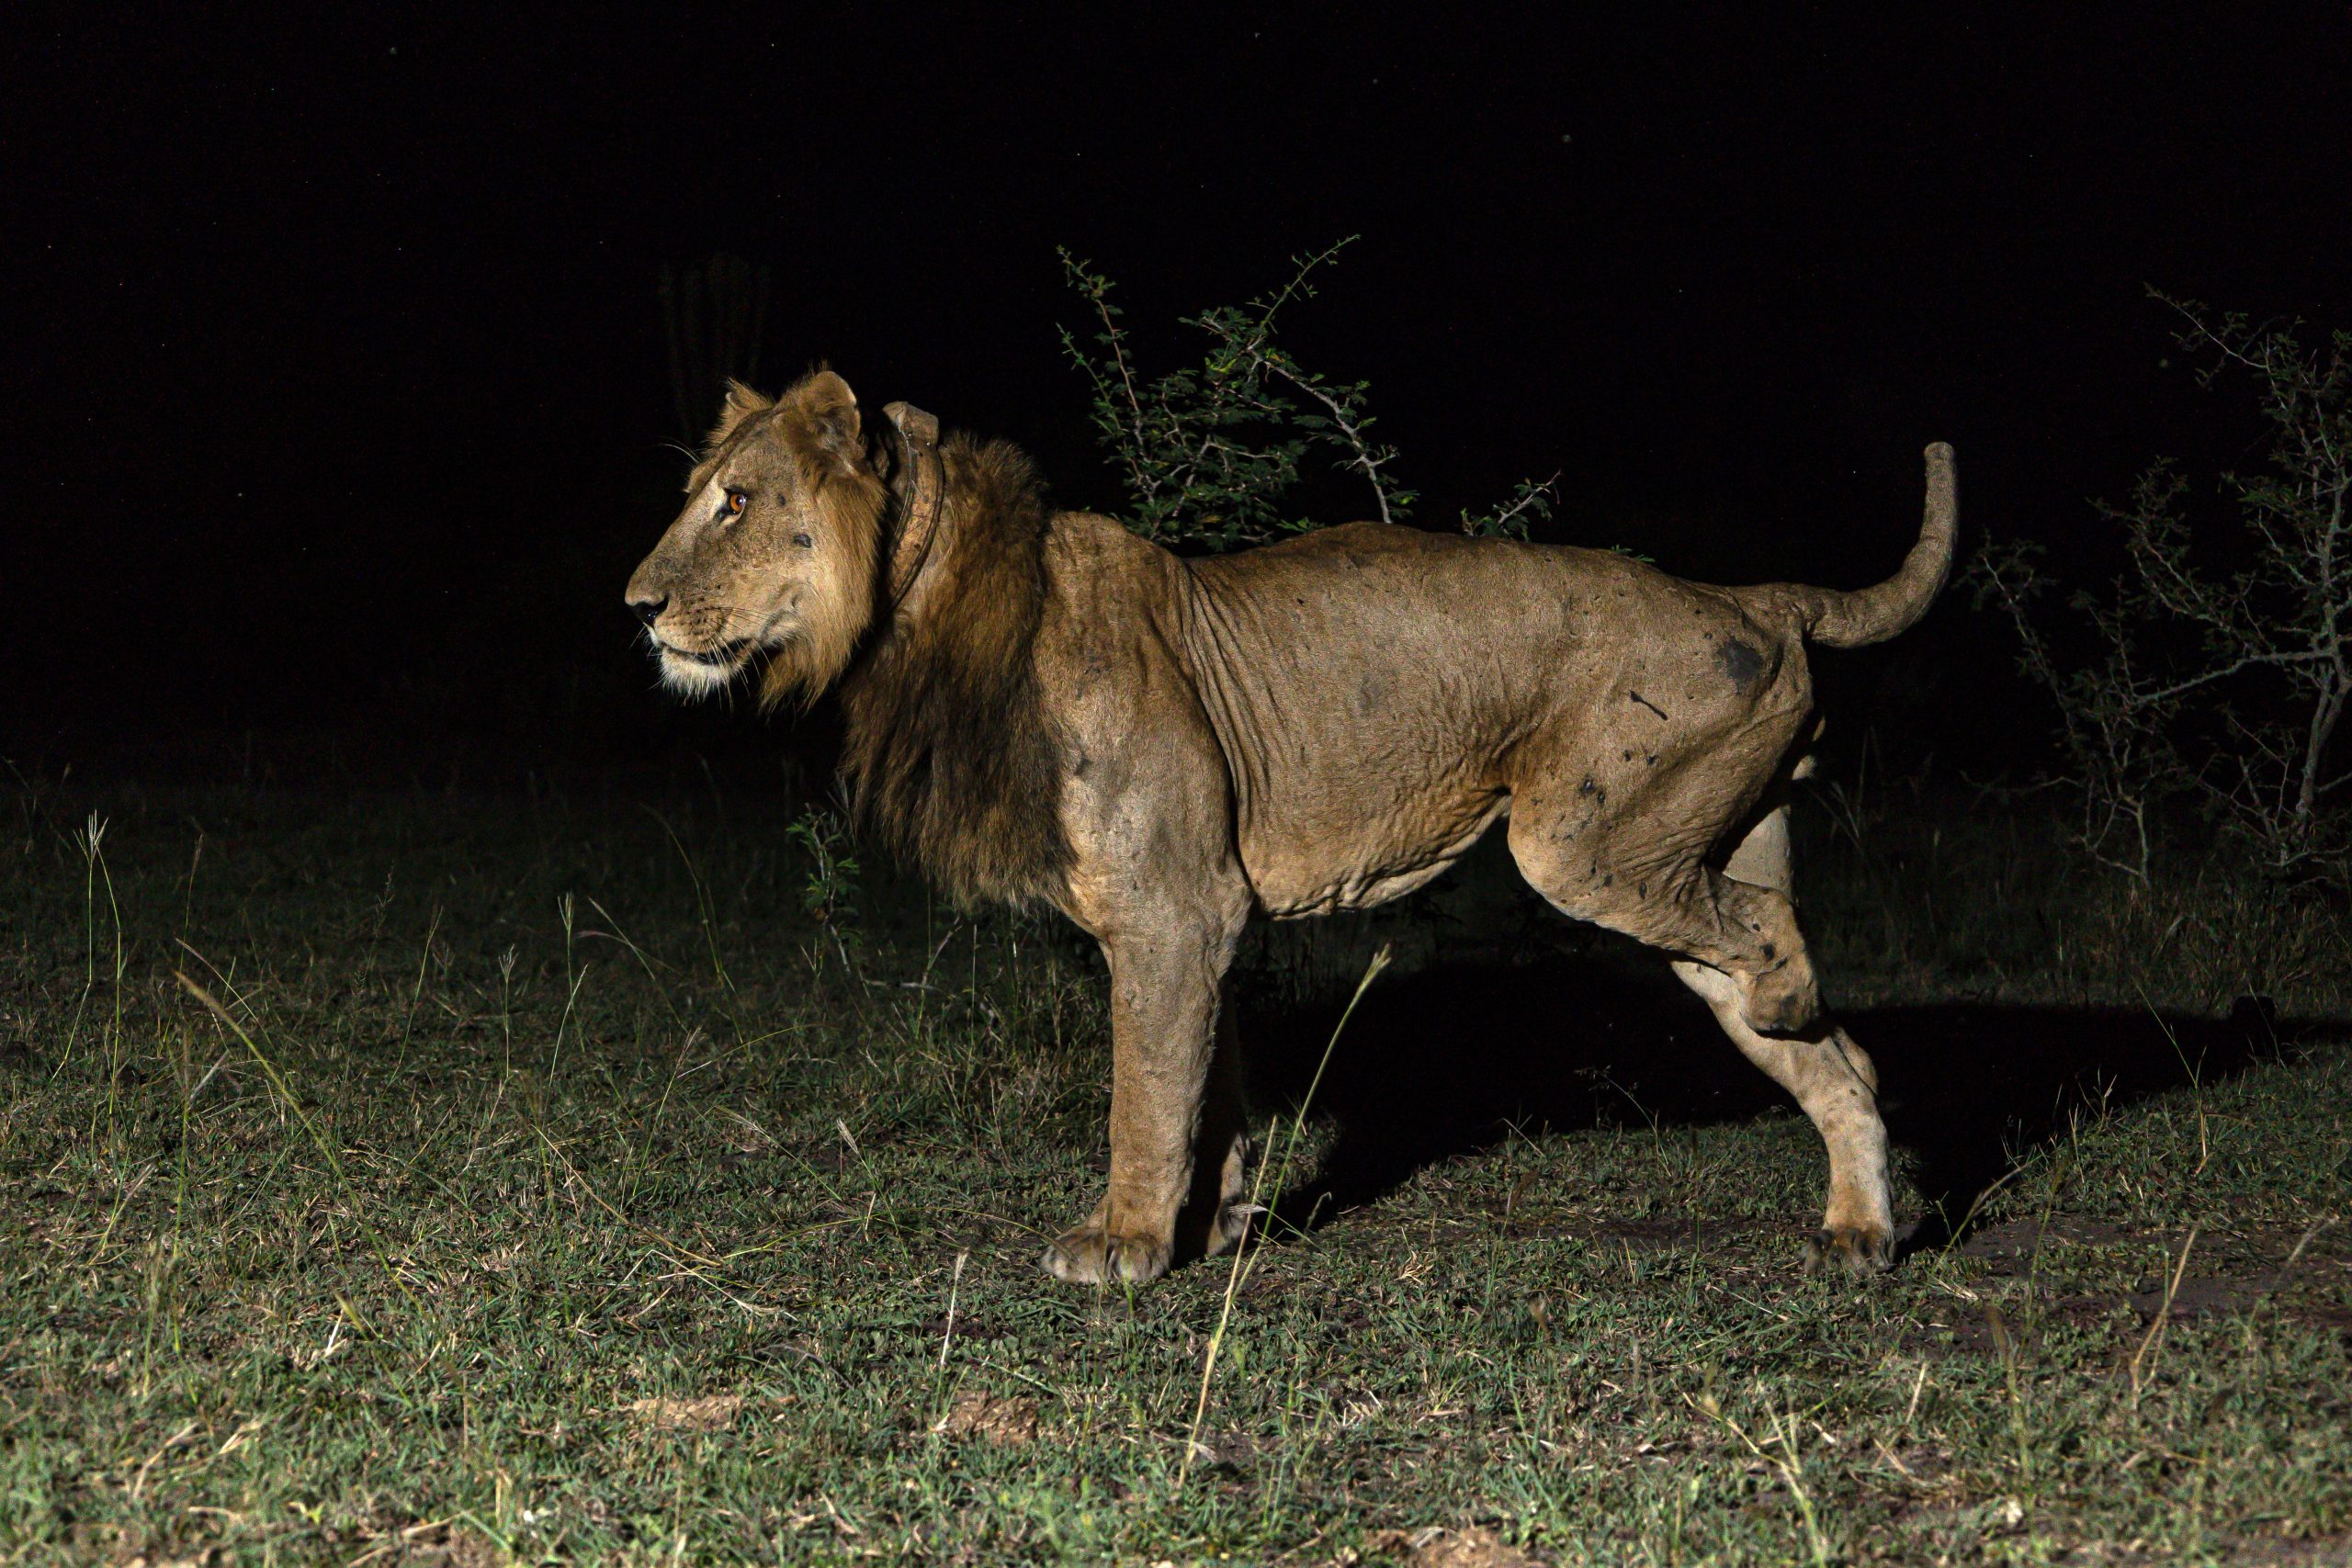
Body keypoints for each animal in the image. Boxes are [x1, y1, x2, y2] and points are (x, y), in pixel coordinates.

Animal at [626, 370, 1956, 1283]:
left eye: (735, 502)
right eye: (700, 496)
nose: (635, 605)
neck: (926, 609)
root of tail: (1748, 595)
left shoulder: (1172, 909)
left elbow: (1145, 1090)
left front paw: (1121, 1242)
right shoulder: (1199, 915)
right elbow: (1206, 1081)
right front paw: (1210, 1223)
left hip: (1584, 842)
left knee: (1773, 949)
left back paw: (1796, 1013)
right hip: (1687, 848)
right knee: (1838, 1056)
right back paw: (1859, 1231)